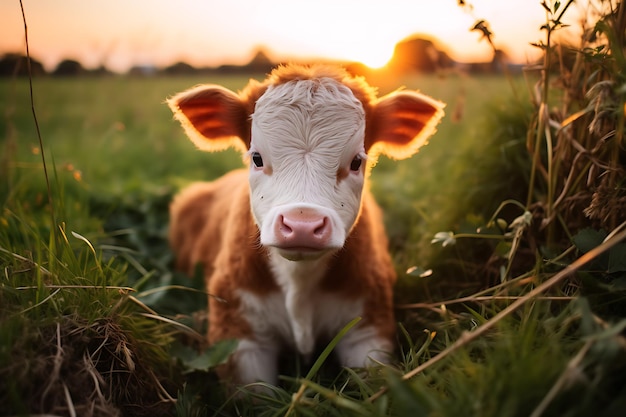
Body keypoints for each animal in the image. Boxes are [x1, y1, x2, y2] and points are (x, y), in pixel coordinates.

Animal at [163, 63, 442, 386]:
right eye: (257, 158)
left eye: (356, 162)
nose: (303, 225)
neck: (300, 280)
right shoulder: (238, 335)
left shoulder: (369, 328)